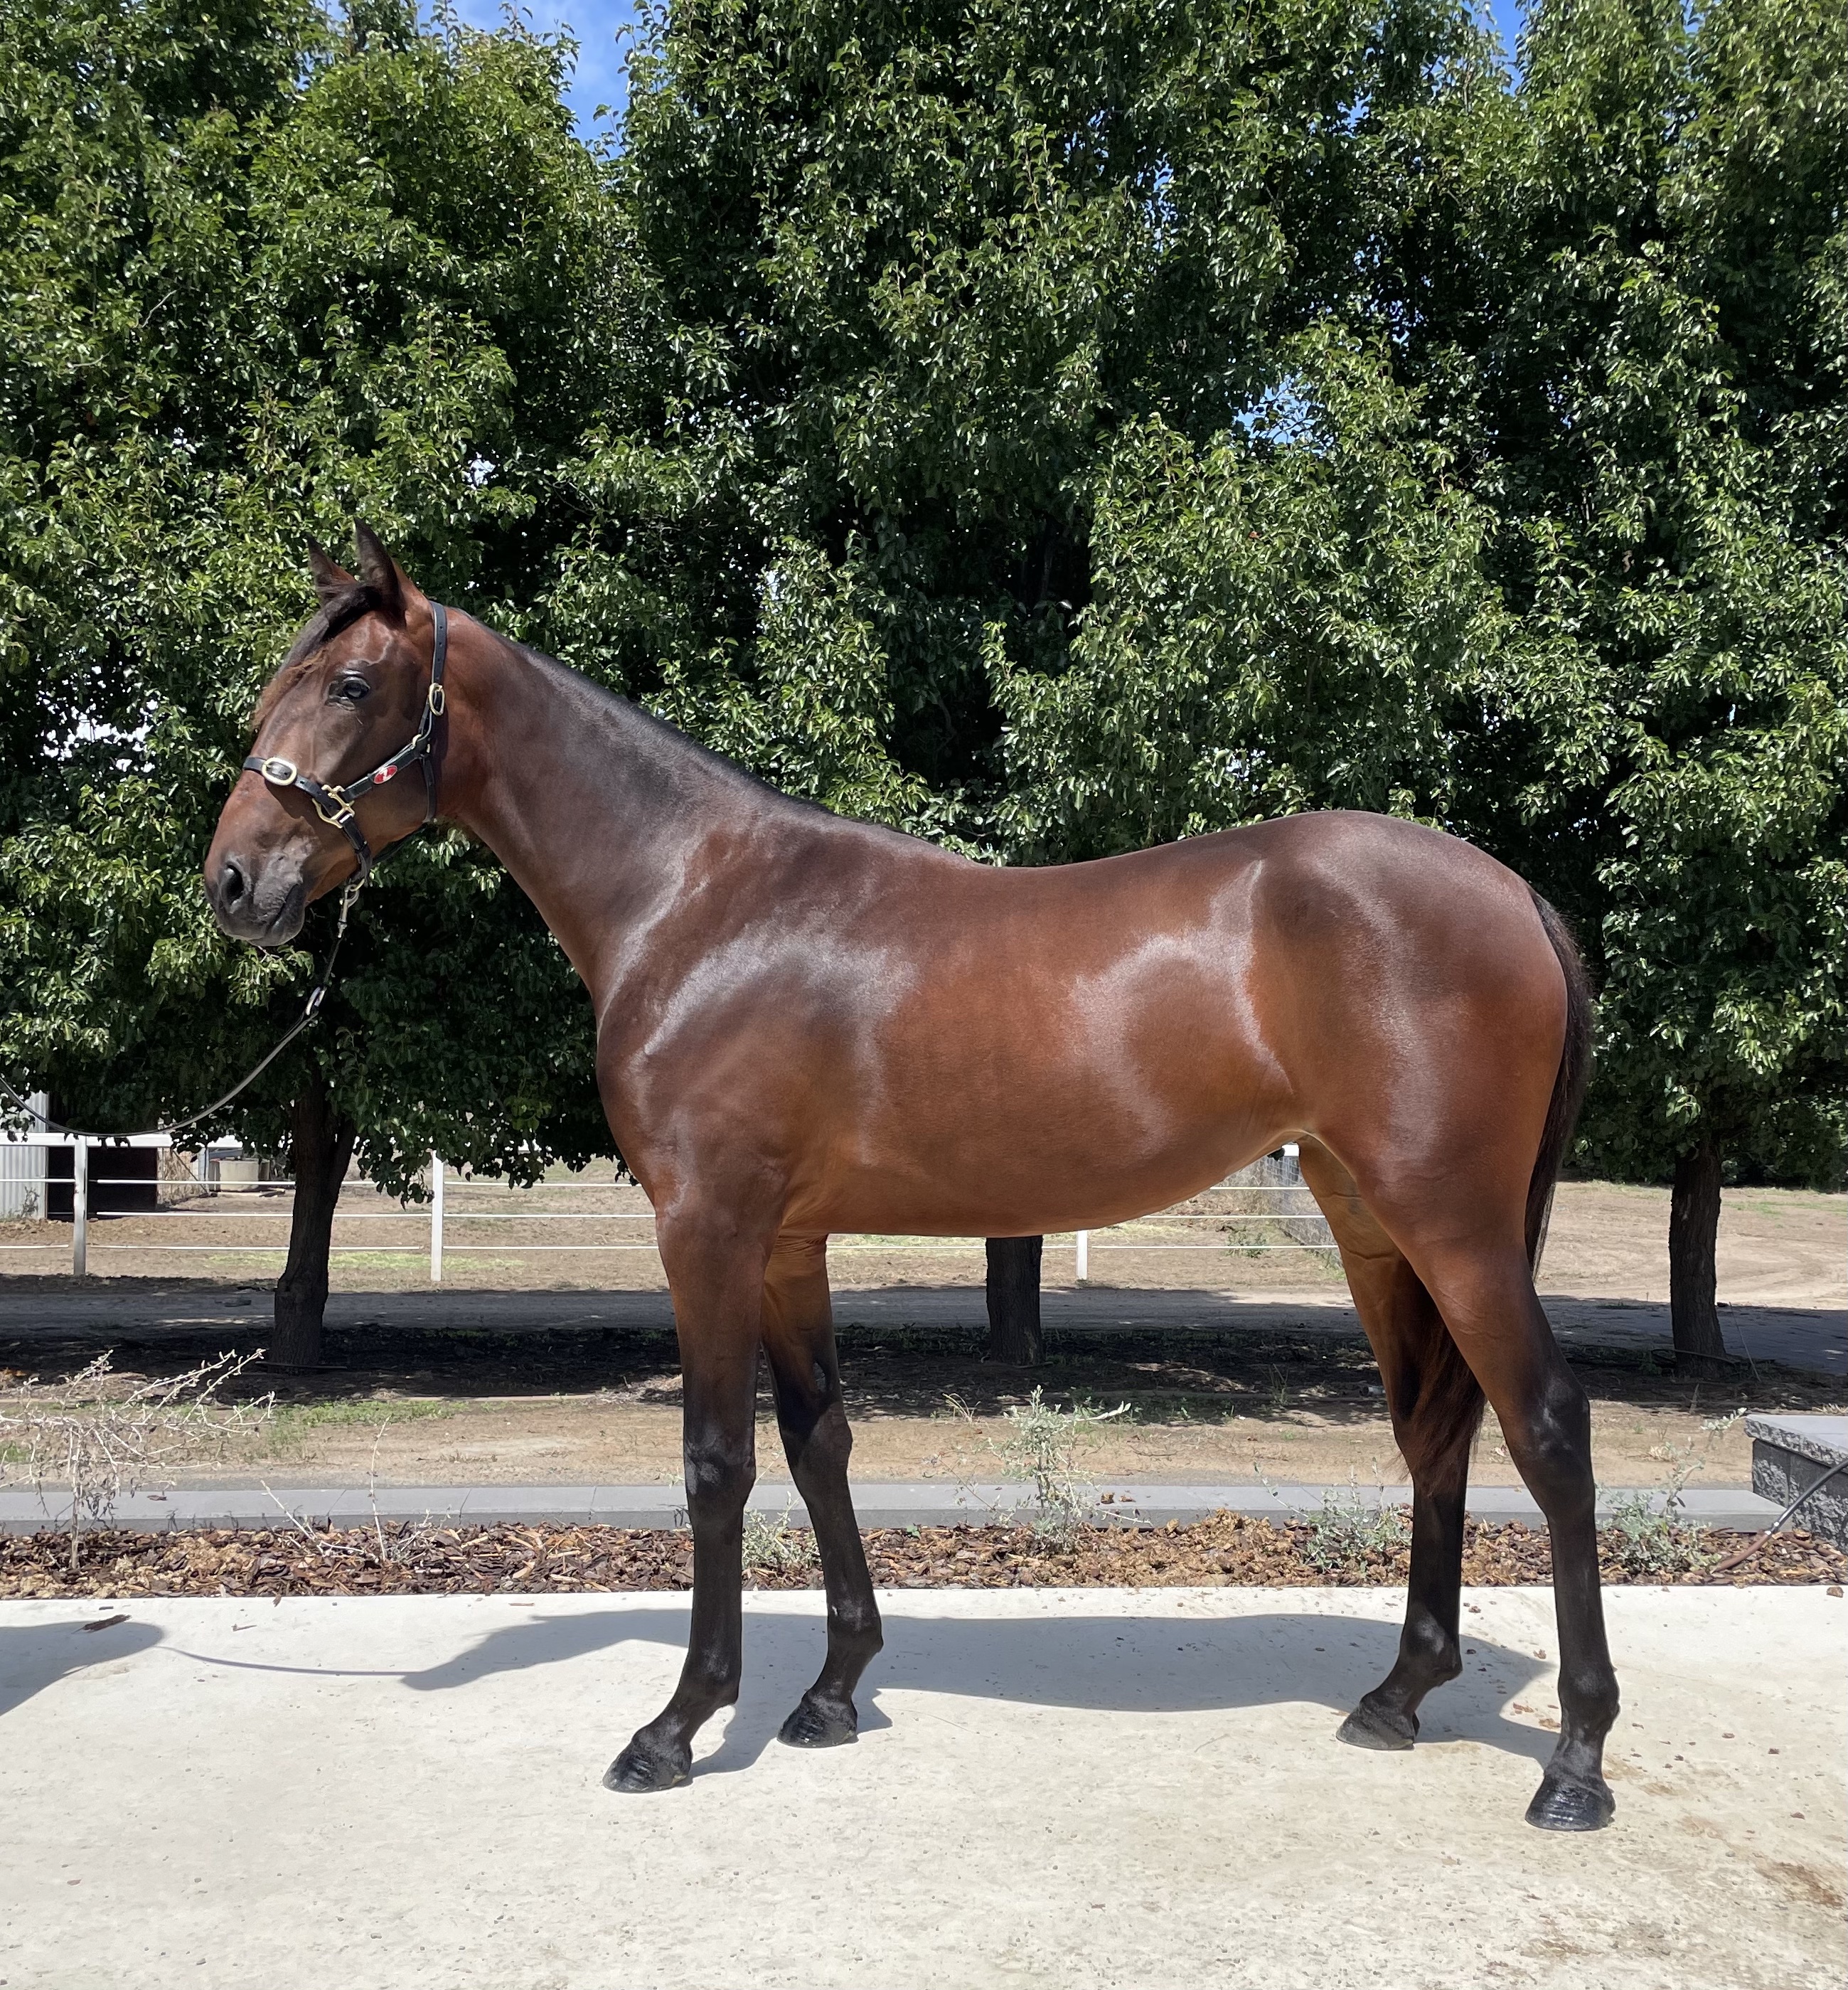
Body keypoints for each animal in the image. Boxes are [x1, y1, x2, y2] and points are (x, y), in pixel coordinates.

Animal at [205, 524, 1619, 1831]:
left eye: (349, 686)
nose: (234, 880)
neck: (698, 901)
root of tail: (1512, 893)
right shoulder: (786, 1242)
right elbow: (818, 1438)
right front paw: (830, 1690)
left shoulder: (706, 1229)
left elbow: (715, 1460)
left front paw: (676, 1725)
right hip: (1368, 1219)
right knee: (1434, 1427)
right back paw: (1396, 1696)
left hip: (1454, 1228)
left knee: (1545, 1426)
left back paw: (1573, 1762)